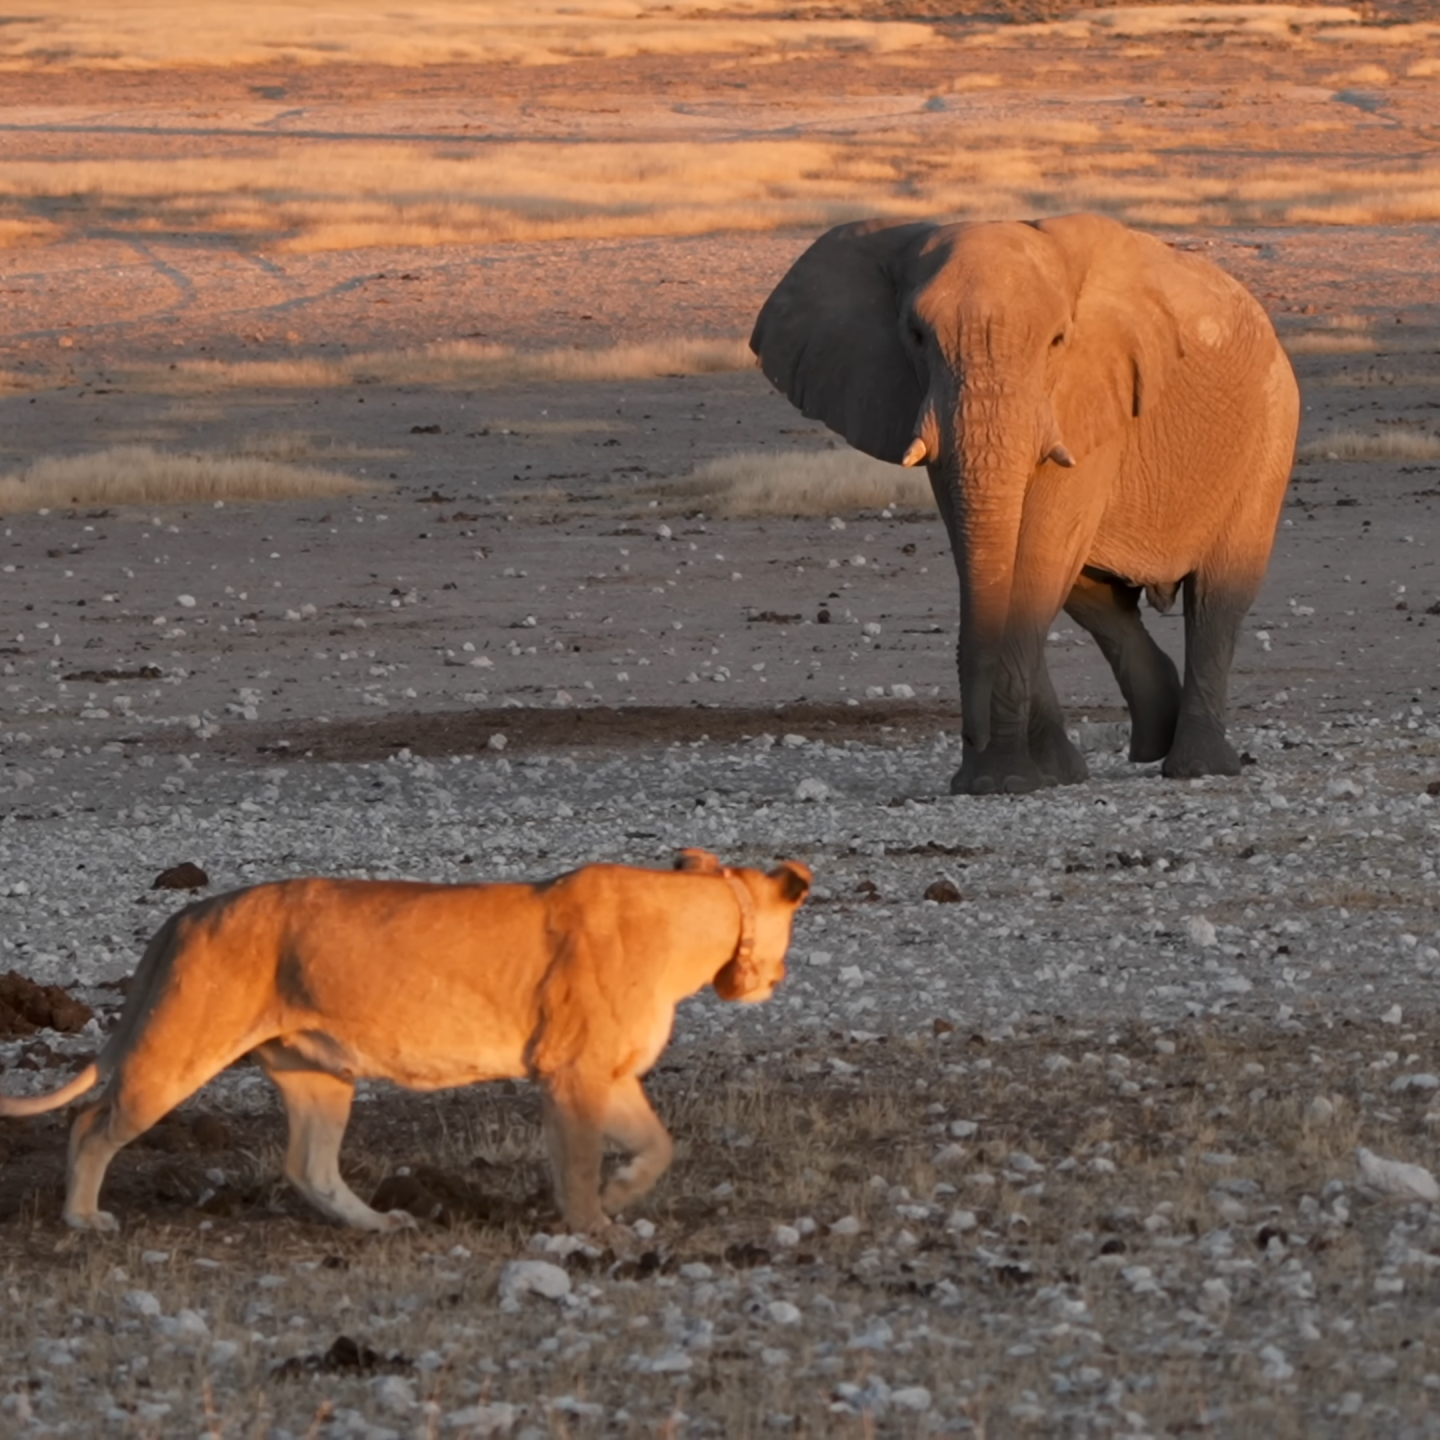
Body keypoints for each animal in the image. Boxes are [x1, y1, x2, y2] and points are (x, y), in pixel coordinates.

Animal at [0, 849, 811, 1233]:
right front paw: (593, 1225)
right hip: (179, 1045)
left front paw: (618, 1199)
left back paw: (379, 1223)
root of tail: (188, 913)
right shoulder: (573, 1070)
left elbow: (658, 1144)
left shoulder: (605, 1074)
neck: (701, 915)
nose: (776, 979)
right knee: (91, 1123)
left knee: (309, 1166)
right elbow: (580, 1160)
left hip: (319, 1074)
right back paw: (83, 1217)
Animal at [750, 212, 1299, 794]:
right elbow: (1003, 559)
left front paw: (999, 782)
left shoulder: (1089, 396)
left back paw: (1198, 766)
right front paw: (1031, 778)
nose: (971, 742)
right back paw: (1141, 740)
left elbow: (1038, 548)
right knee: (1095, 597)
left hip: (1272, 426)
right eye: (916, 337)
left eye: (1058, 340)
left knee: (1217, 596)